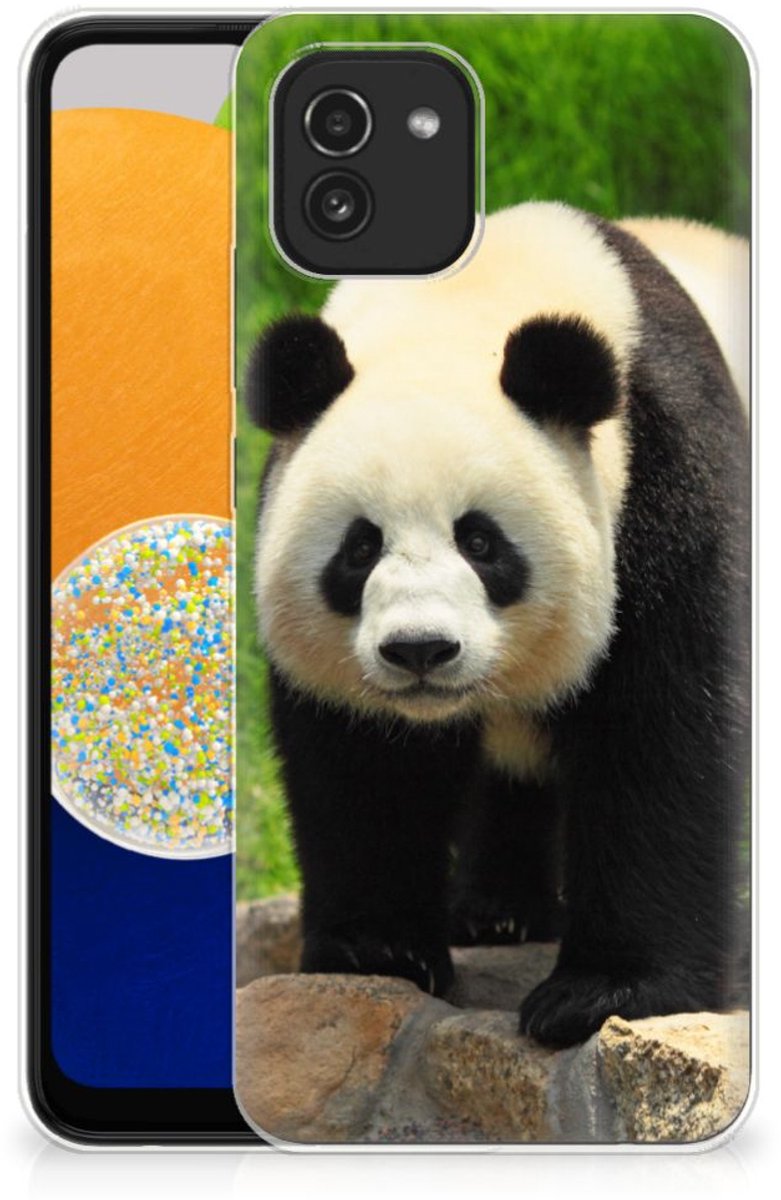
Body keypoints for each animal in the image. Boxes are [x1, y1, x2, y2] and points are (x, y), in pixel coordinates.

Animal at [245, 202, 750, 1049]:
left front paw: (602, 993)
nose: (419, 650)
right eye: (359, 547)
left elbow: (661, 732)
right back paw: (497, 912)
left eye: (480, 542)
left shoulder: (666, 478)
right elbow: (362, 763)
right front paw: (378, 950)